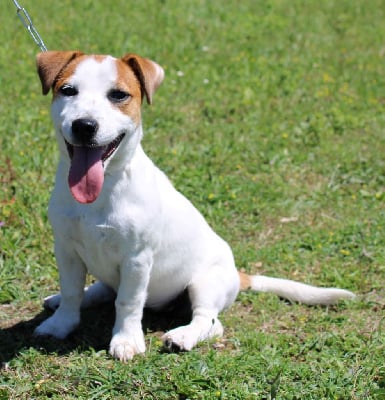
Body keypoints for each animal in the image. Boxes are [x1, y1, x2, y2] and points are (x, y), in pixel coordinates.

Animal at [33, 51, 354, 360]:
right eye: (68, 90)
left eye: (119, 95)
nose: (84, 126)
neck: (106, 186)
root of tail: (238, 274)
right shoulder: (66, 249)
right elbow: (72, 292)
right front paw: (61, 323)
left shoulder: (137, 259)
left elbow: (128, 301)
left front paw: (126, 340)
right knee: (99, 289)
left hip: (204, 283)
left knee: (209, 322)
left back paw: (182, 336)